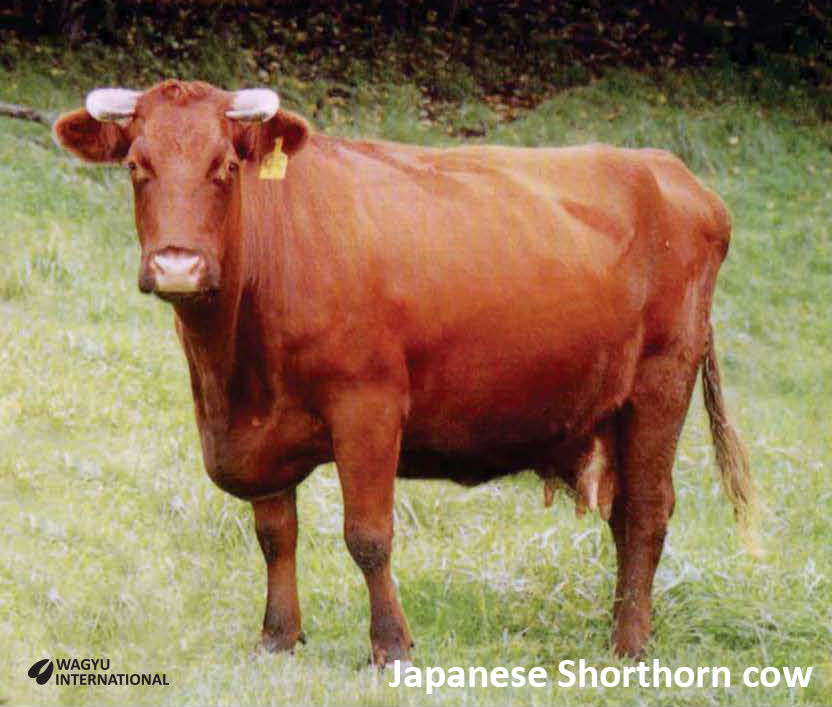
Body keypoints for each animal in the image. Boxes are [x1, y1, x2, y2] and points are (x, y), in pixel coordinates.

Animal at [52, 80, 752, 668]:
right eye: (136, 168)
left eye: (223, 167)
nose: (178, 266)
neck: (230, 371)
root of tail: (671, 172)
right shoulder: (258, 434)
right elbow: (275, 535)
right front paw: (277, 636)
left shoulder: (369, 406)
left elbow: (368, 536)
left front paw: (390, 647)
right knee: (626, 512)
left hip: (661, 384)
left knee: (646, 512)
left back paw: (629, 646)